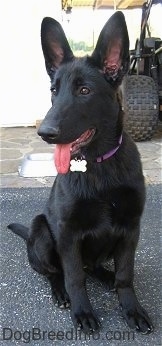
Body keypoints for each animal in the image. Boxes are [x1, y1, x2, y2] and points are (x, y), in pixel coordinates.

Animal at [8, 11, 154, 336]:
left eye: (84, 90)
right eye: (53, 90)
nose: (44, 133)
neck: (99, 164)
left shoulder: (130, 229)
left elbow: (126, 274)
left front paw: (131, 309)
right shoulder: (68, 233)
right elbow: (75, 277)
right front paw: (83, 311)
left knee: (94, 267)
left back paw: (106, 276)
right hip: (42, 233)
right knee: (56, 272)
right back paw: (61, 292)